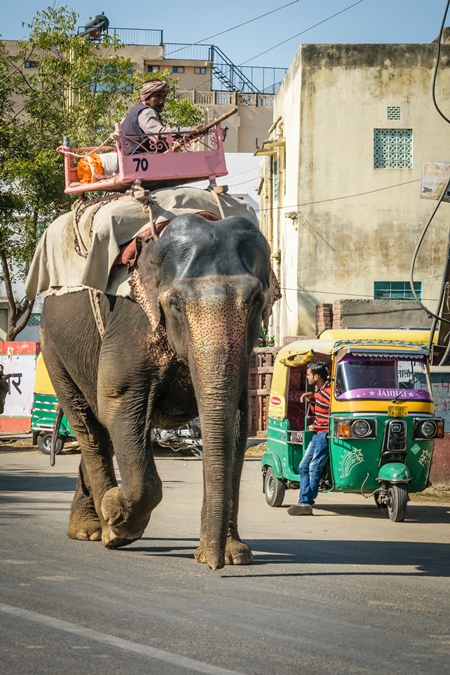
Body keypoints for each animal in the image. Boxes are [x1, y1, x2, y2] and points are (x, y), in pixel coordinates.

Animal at [40, 215, 274, 572]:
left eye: (257, 302)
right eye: (174, 303)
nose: (214, 566)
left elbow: (237, 421)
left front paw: (234, 556)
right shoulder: (131, 323)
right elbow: (118, 403)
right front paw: (117, 524)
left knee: (101, 431)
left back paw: (89, 528)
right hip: (53, 348)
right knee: (90, 426)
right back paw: (100, 527)